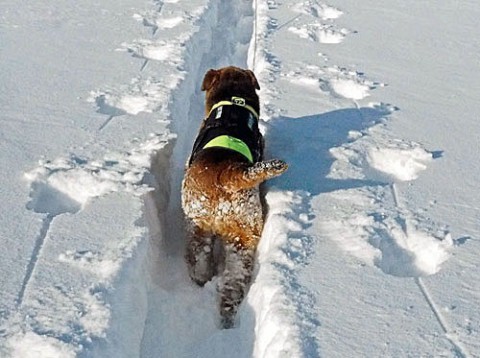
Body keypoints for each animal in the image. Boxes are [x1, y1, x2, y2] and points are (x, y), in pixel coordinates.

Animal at [180, 65, 284, 328]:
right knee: (231, 277)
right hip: (240, 234)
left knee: (201, 260)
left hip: (206, 224)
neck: (235, 99)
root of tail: (225, 175)